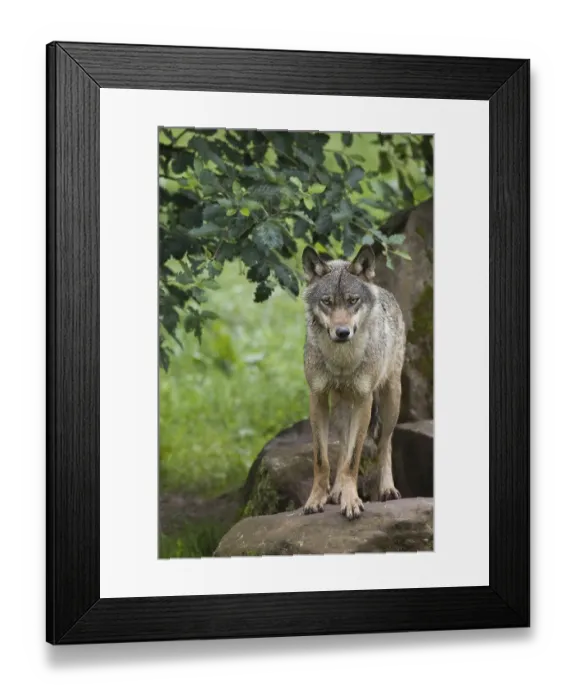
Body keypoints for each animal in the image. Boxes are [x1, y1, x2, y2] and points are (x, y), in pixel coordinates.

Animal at [301, 244, 406, 520]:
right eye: (327, 302)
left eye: (352, 300)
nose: (342, 332)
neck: (342, 361)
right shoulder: (317, 397)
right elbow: (323, 458)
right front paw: (316, 500)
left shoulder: (363, 399)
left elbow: (353, 459)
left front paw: (352, 502)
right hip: (339, 408)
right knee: (342, 447)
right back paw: (336, 491)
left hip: (391, 401)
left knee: (385, 444)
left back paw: (387, 489)